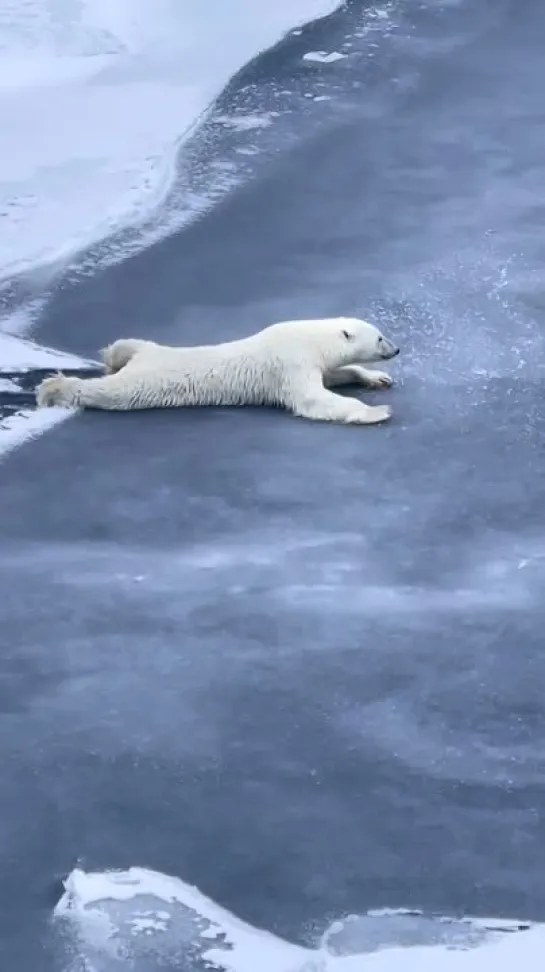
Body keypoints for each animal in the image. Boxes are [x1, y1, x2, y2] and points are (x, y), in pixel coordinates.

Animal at [35, 318, 400, 426]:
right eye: (380, 336)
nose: (396, 349)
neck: (307, 338)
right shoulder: (289, 363)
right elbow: (312, 399)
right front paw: (377, 412)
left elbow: (333, 376)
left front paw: (377, 379)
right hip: (143, 382)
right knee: (109, 392)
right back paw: (53, 388)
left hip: (149, 351)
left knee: (130, 344)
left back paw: (112, 356)